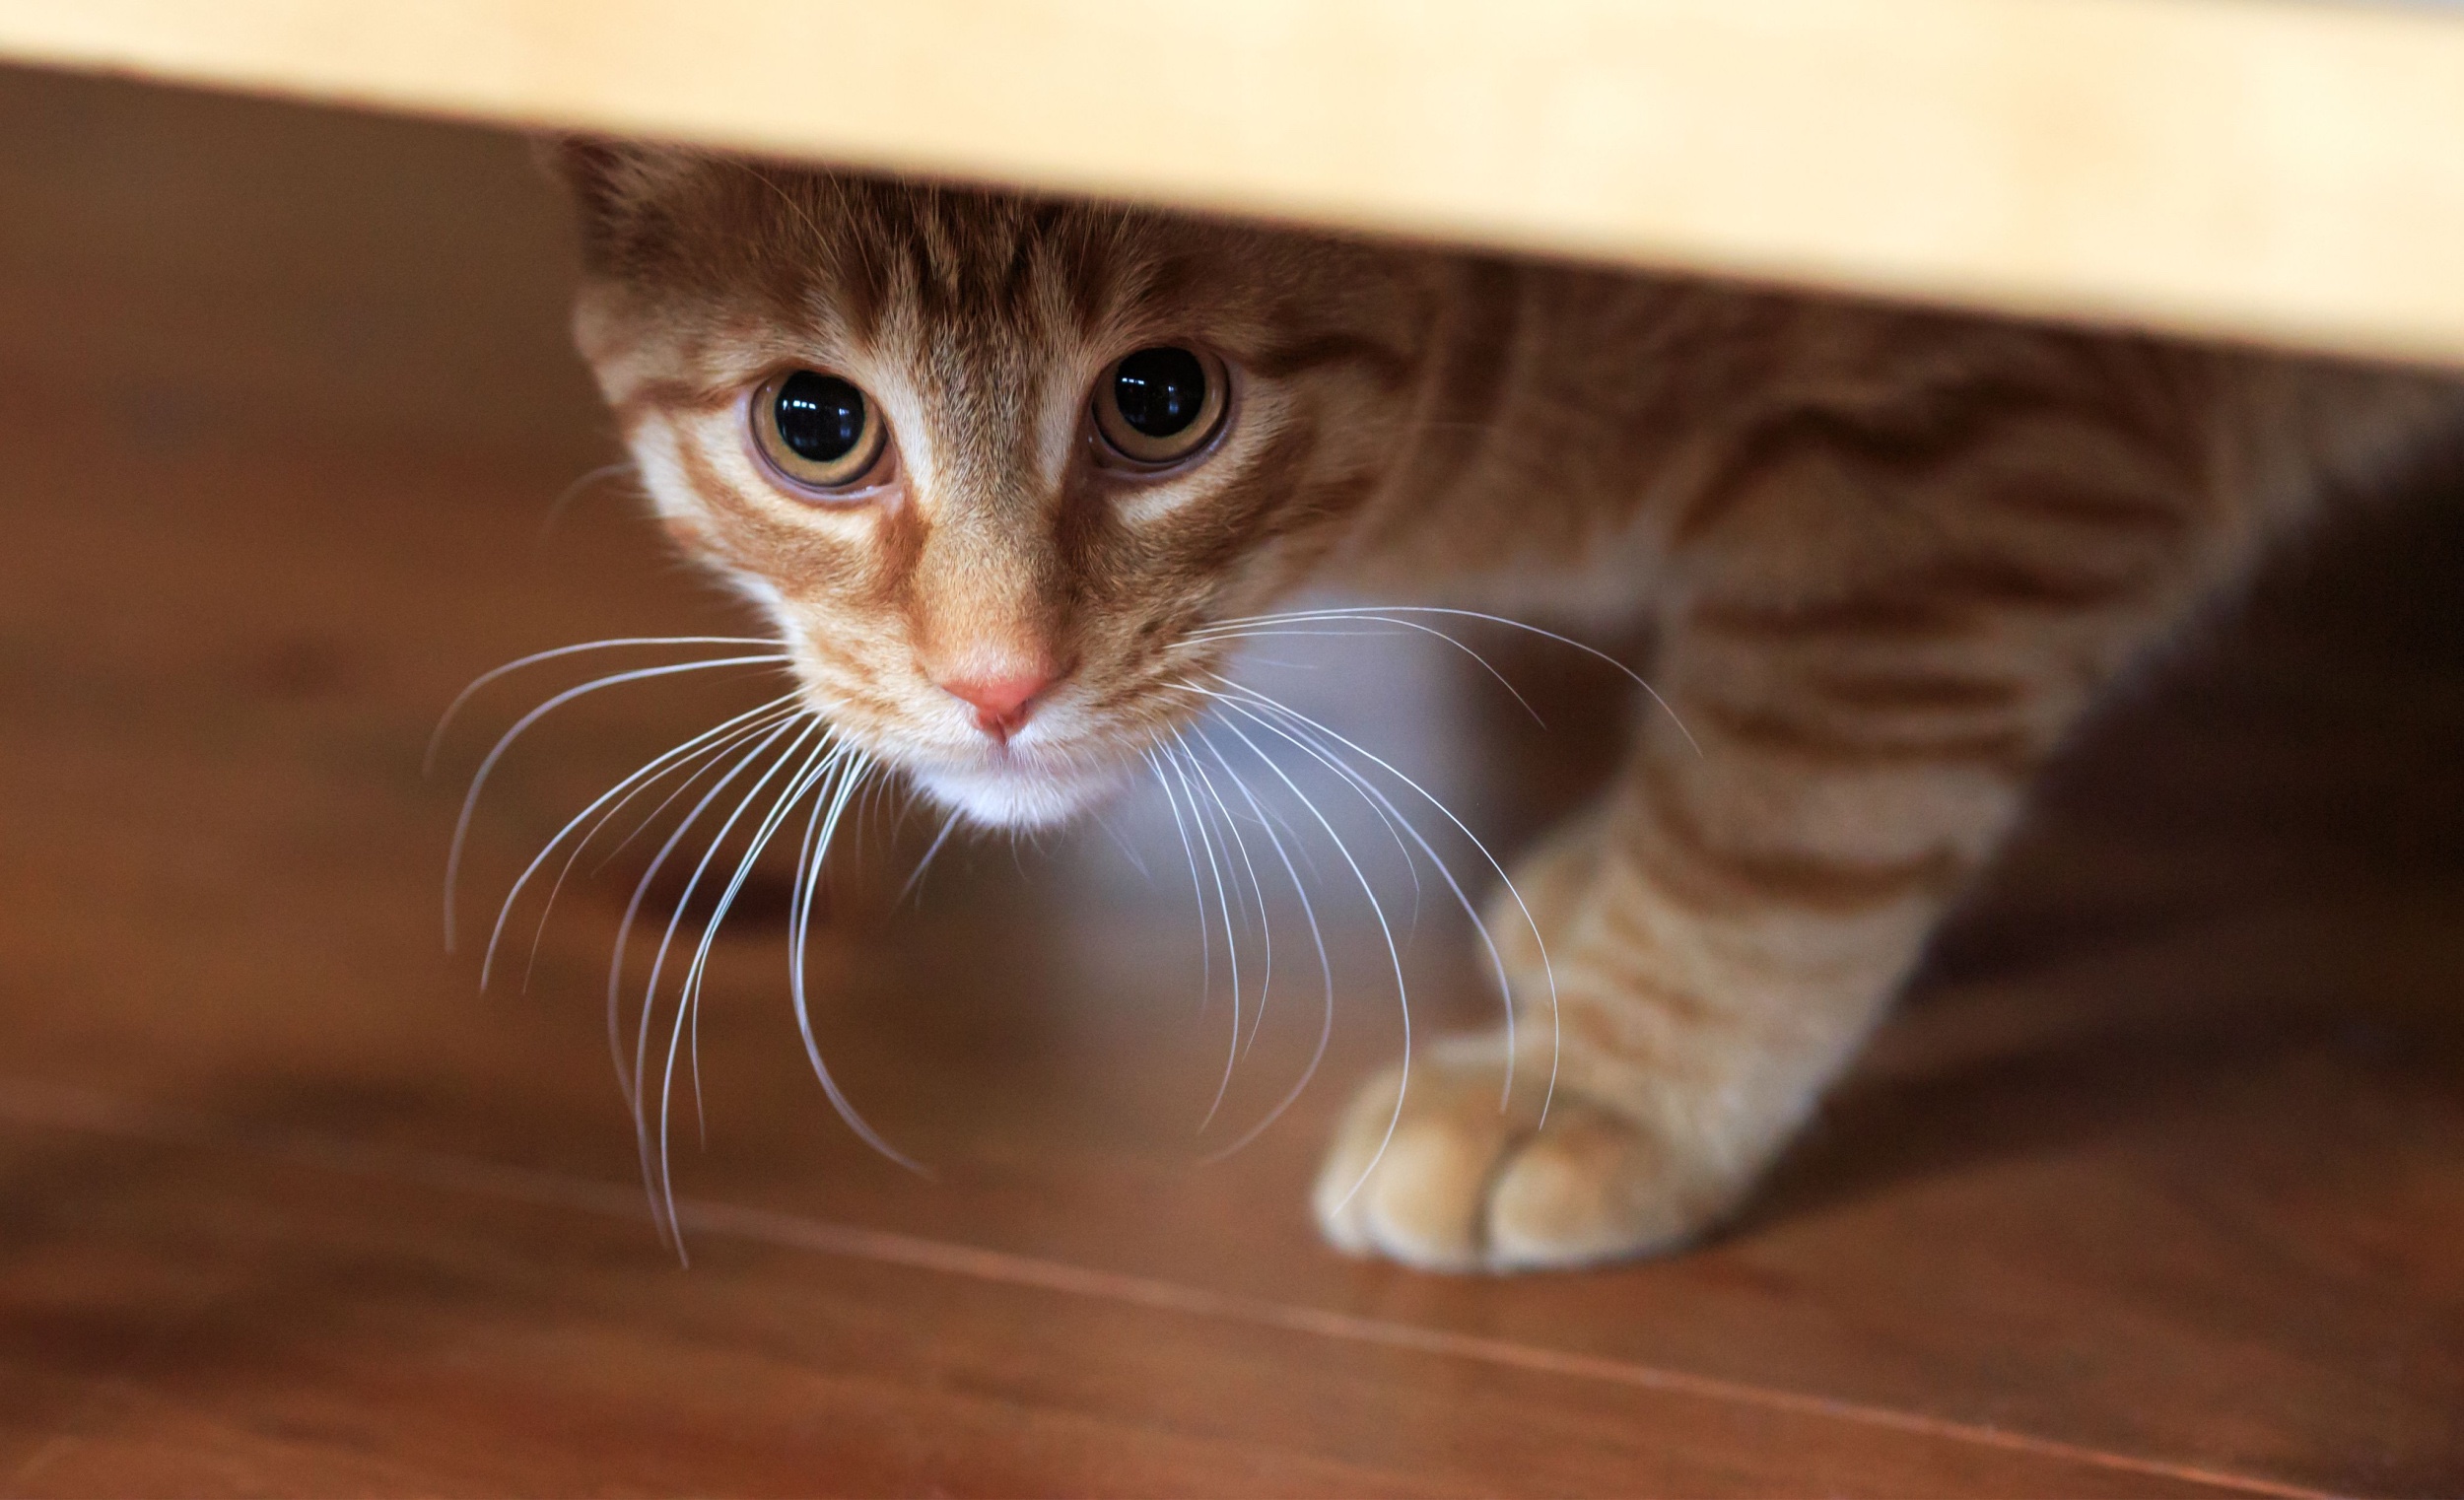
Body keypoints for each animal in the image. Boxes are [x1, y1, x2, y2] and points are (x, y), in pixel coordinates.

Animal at [549, 140, 2464, 1270]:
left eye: (1163, 401)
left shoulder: (1986, 452)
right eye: (814, 426)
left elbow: (1781, 818)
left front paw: (1602, 1089)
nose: (996, 678)